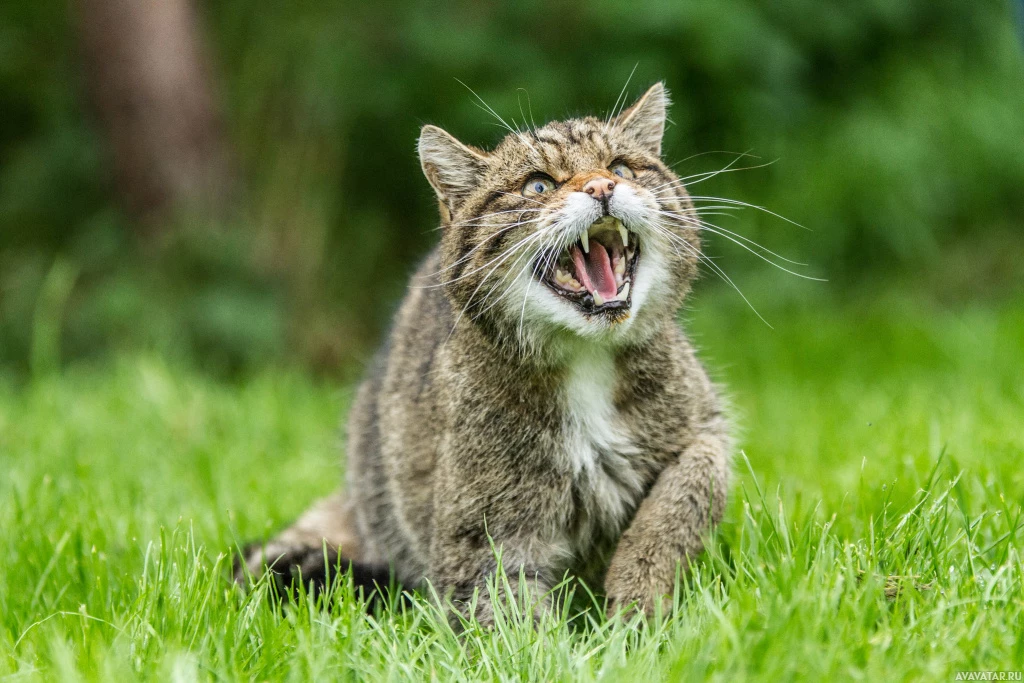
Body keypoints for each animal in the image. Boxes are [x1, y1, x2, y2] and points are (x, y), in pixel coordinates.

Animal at [237, 82, 737, 622]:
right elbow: (506, 615)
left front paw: (637, 597)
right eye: (538, 186)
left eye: (621, 168)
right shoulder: (485, 537)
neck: (586, 358)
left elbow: (687, 492)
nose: (602, 188)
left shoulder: (707, 428)